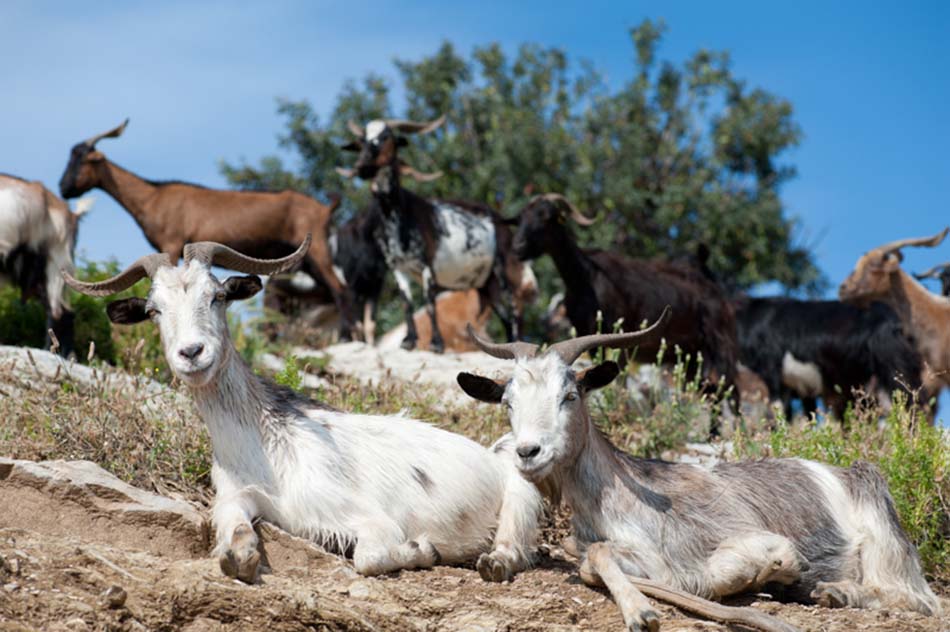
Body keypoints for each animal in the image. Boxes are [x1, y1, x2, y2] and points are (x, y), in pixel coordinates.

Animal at [57, 119, 357, 338]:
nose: (64, 188)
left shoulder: (172, 241)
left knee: (341, 290)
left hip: (318, 248)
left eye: (82, 159)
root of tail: (325, 208)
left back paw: (347, 336)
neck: (152, 197)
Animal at [62, 237, 541, 585]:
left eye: (217, 296)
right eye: (153, 310)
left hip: (520, 493)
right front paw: (242, 553)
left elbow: (370, 556)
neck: (268, 446)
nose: (192, 353)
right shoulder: (238, 494)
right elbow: (234, 545)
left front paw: (424, 550)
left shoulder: (367, 517)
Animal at [337, 115, 522, 353]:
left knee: (514, 308)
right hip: (485, 284)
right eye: (362, 140)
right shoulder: (397, 267)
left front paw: (436, 343)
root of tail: (499, 218)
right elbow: (407, 303)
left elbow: (429, 303)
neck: (398, 216)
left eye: (386, 137)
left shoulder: (426, 264)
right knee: (504, 316)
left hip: (501, 267)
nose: (362, 167)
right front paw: (408, 340)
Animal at [457, 312, 939, 631]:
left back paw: (836, 591)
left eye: (570, 395)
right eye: (507, 402)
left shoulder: (738, 538)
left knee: (917, 598)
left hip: (884, 535)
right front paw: (641, 607)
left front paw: (649, 610)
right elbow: (594, 558)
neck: (620, 498)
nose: (528, 452)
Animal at [512, 194, 740, 411]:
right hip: (689, 356)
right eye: (522, 218)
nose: (518, 247)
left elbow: (620, 379)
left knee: (731, 391)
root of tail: (718, 293)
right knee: (711, 393)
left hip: (720, 345)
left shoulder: (617, 333)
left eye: (546, 217)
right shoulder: (587, 333)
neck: (585, 278)